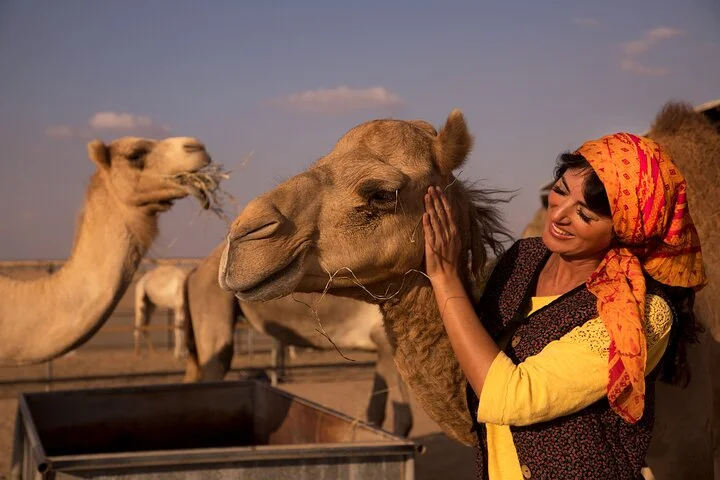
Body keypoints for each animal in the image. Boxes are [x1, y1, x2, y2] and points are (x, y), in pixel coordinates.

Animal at [182, 243, 414, 436]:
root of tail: (195, 271)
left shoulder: (382, 346)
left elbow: (375, 412)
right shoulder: (385, 340)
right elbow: (403, 417)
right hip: (214, 298)